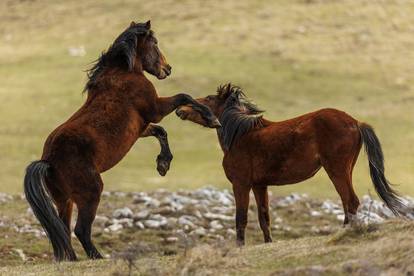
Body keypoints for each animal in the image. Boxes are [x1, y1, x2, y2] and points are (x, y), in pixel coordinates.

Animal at [23, 21, 220, 260]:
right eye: (155, 43)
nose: (167, 69)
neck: (124, 73)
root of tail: (48, 161)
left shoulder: (142, 127)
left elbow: (161, 132)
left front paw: (163, 164)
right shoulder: (156, 109)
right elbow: (184, 96)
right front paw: (212, 119)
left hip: (64, 200)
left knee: (63, 229)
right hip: (90, 192)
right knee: (81, 229)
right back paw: (98, 257)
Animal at [176, 83, 406, 246]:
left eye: (208, 99)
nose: (180, 109)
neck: (240, 134)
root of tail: (356, 122)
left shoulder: (241, 184)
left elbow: (240, 218)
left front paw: (239, 247)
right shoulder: (259, 185)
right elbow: (264, 217)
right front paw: (268, 244)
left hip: (336, 170)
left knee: (350, 201)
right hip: (345, 170)